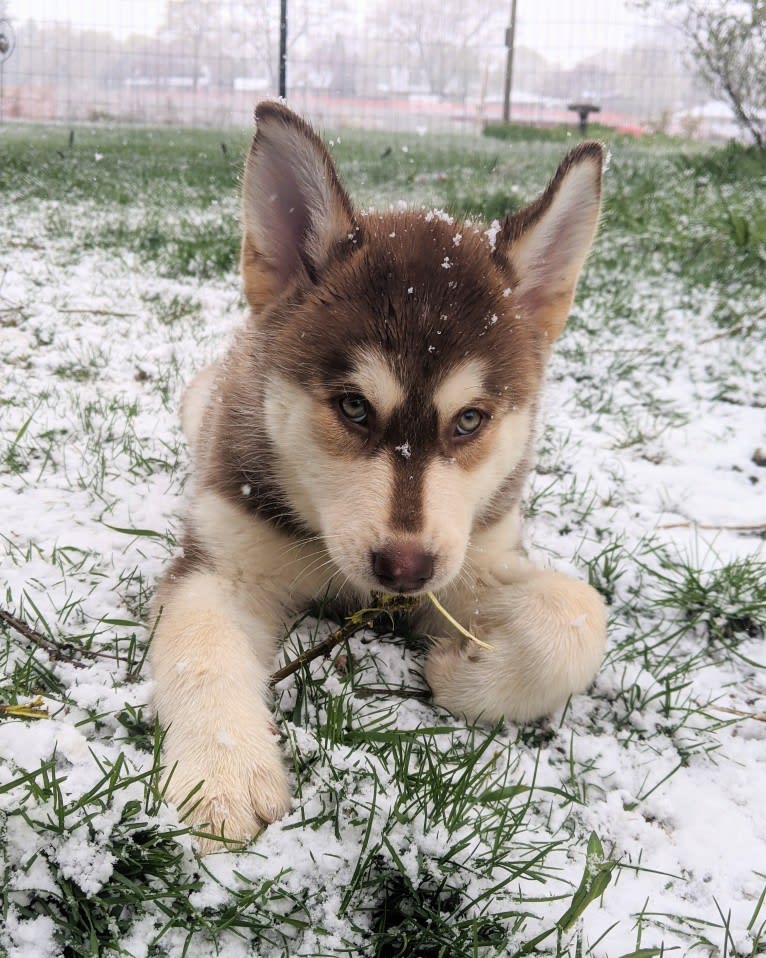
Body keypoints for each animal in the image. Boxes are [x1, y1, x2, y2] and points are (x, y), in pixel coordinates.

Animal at [148, 103, 608, 856]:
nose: (404, 566)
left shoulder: (476, 557)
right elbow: (201, 648)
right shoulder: (222, 564)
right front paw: (221, 773)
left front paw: (463, 672)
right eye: (353, 407)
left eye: (470, 420)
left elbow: (577, 615)